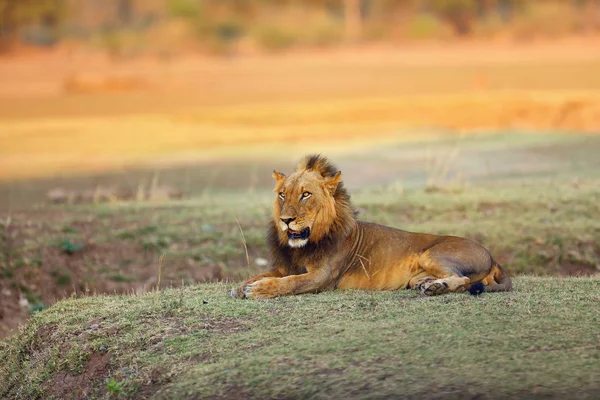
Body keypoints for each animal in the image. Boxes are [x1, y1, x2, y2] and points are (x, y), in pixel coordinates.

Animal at [230, 155, 510, 298]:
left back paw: (435, 288)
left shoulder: (323, 276)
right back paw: (429, 285)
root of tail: (492, 256)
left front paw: (259, 289)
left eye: (305, 194)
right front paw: (241, 286)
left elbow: (290, 283)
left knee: (463, 279)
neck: (306, 243)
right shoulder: (284, 266)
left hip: (433, 254)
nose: (285, 220)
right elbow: (261, 274)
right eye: (282, 195)